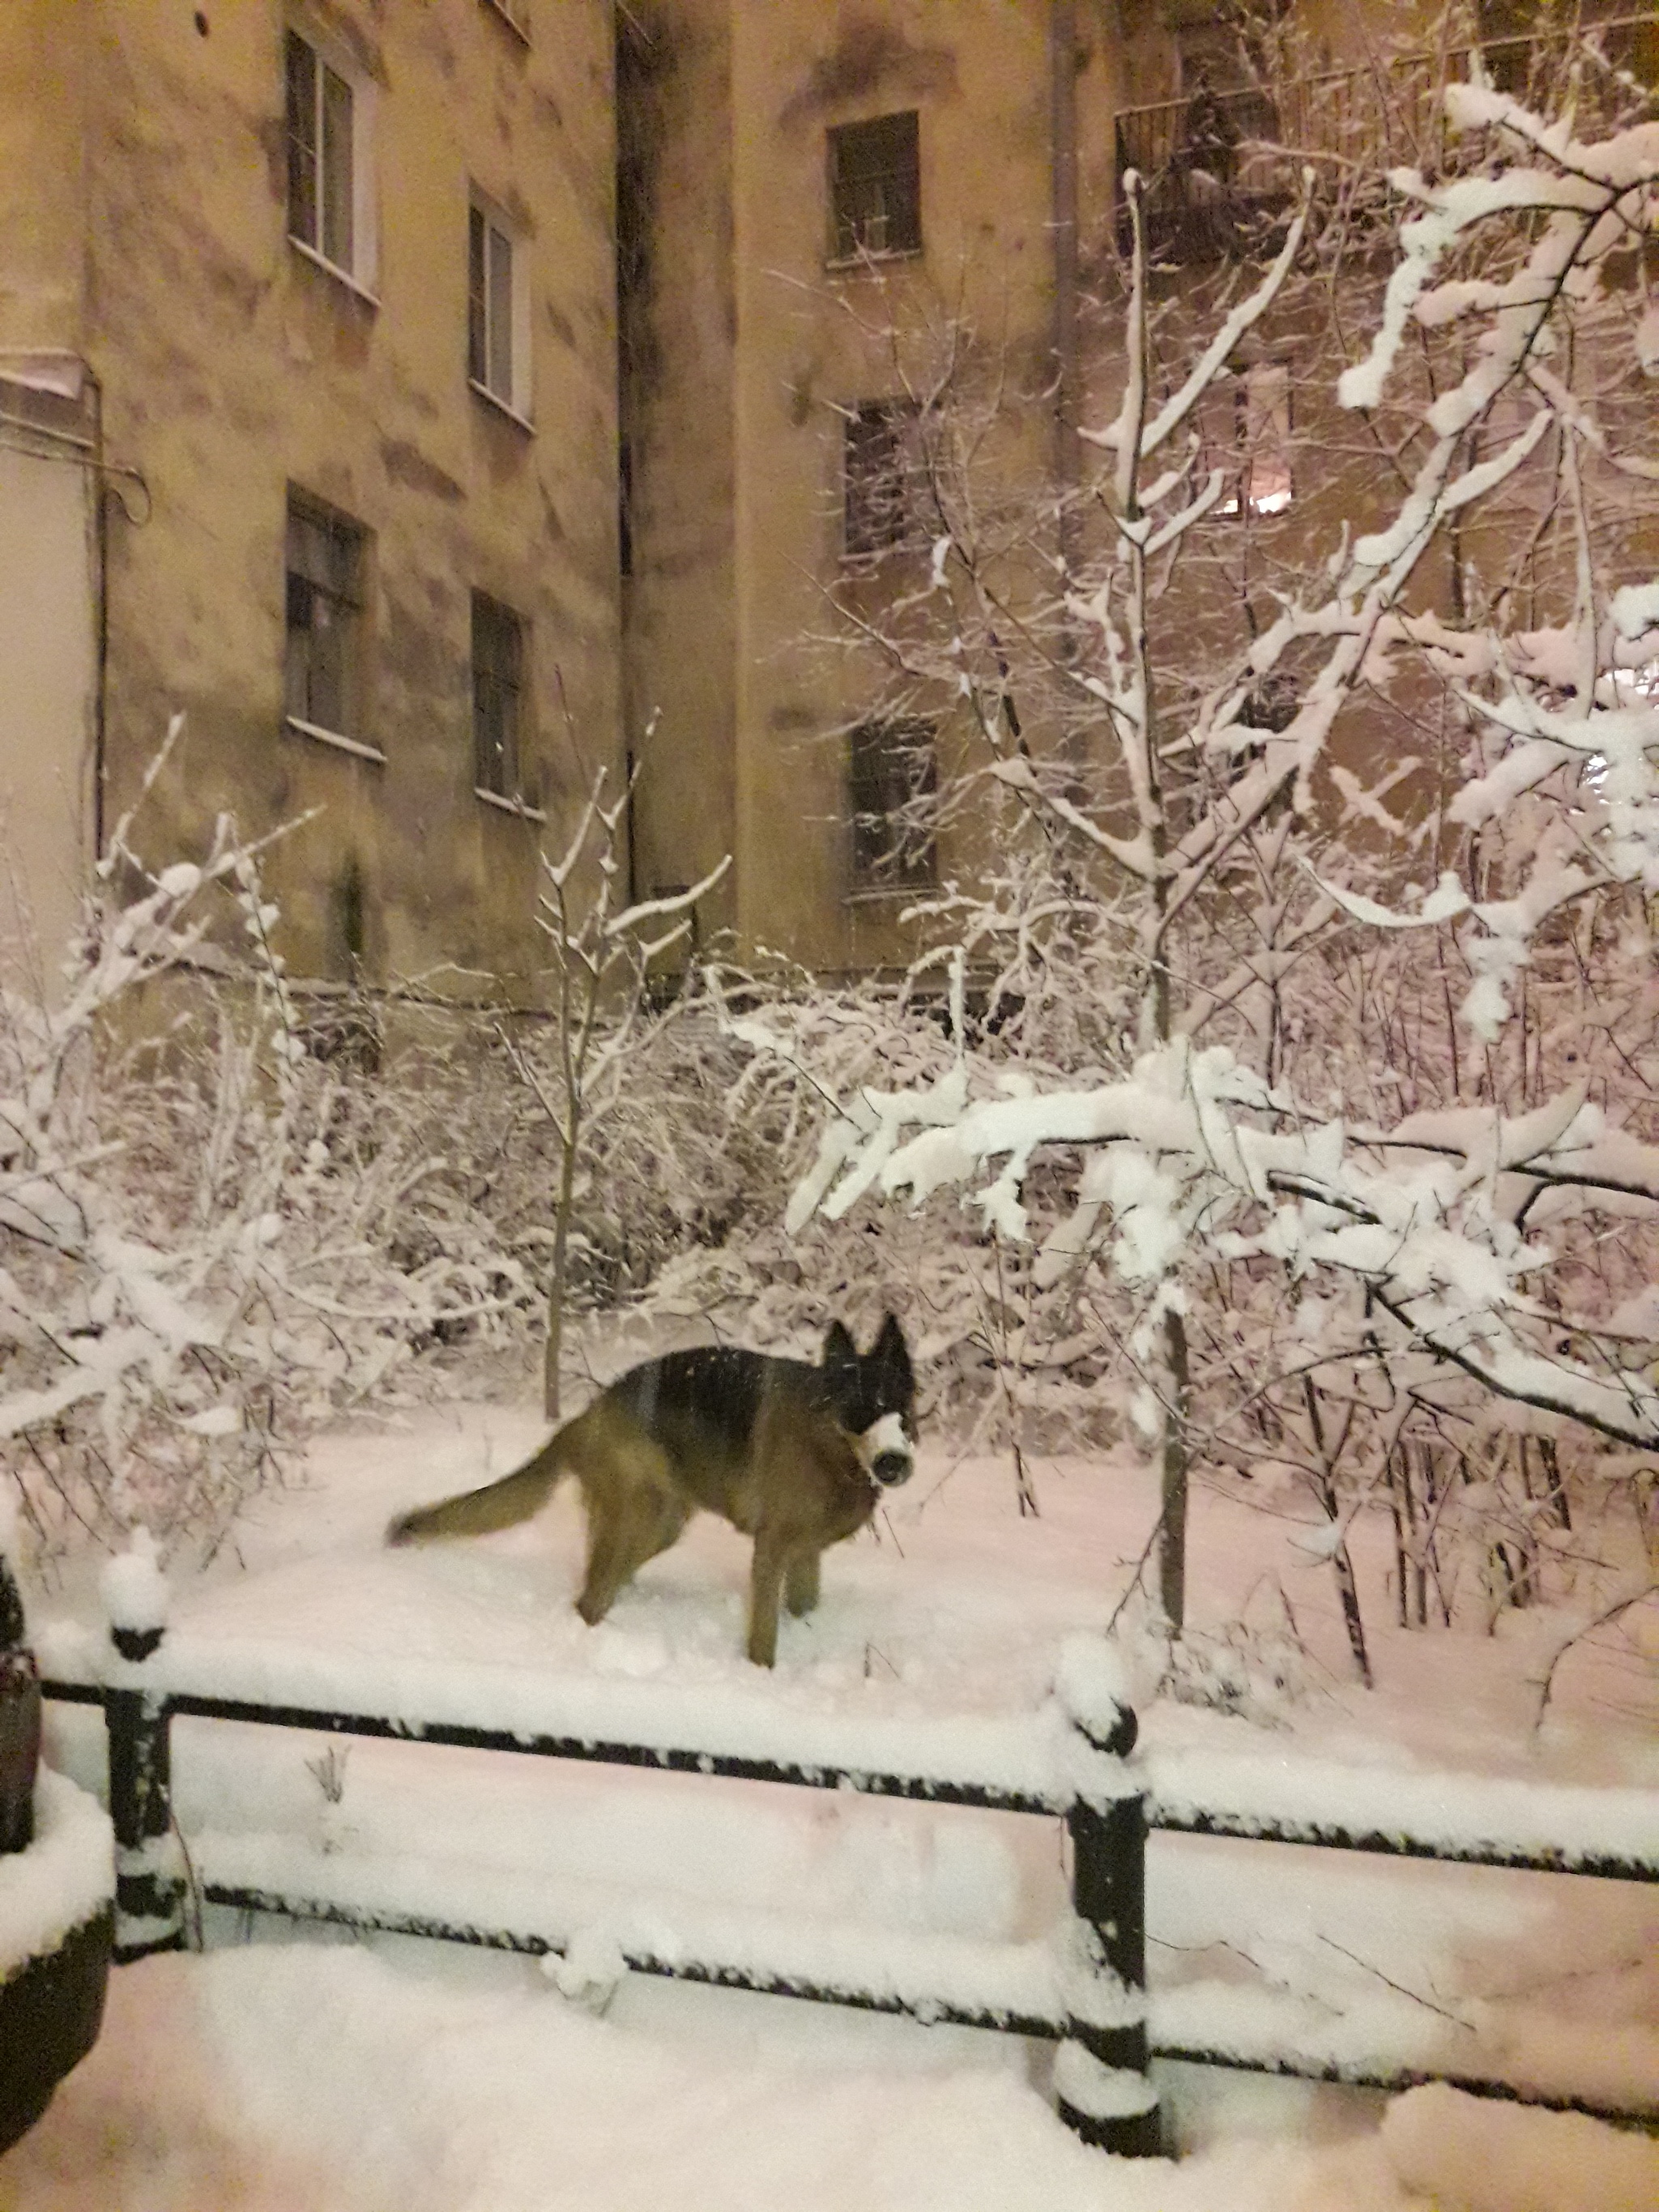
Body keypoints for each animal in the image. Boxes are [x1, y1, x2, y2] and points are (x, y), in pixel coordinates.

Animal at [386, 1309, 924, 1663]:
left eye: (901, 1410)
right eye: (859, 1414)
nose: (893, 1463)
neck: (826, 1442)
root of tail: (588, 1414)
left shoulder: (805, 1554)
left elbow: (802, 1607)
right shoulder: (772, 1552)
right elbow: (764, 1637)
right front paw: (762, 1677)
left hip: (659, 1525)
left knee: (603, 1582)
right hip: (641, 1518)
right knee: (590, 1597)